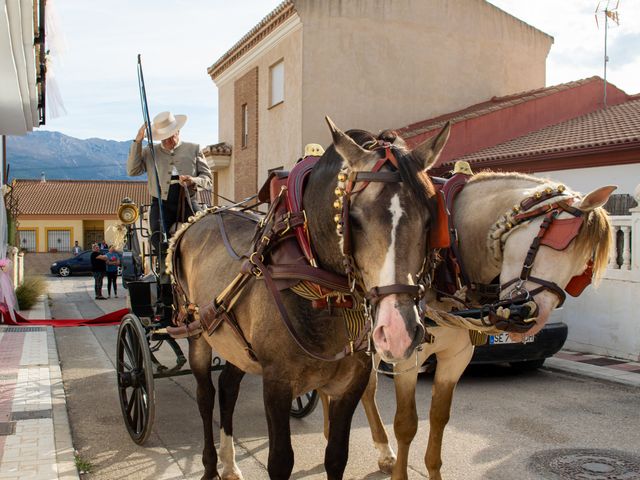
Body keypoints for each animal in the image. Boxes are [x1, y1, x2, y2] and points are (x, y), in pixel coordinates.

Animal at [168, 120, 452, 480]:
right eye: (353, 219)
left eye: (430, 218)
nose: (397, 331)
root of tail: (198, 218)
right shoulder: (276, 382)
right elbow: (280, 461)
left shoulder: (350, 383)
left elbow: (336, 457)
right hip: (198, 334)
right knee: (206, 397)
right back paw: (209, 465)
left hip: (235, 345)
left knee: (229, 389)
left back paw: (230, 463)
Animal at [358, 167, 612, 478]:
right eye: (554, 242)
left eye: (582, 269)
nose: (529, 317)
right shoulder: (406, 356)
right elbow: (406, 424)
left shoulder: (457, 357)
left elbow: (439, 418)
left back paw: (382, 451)